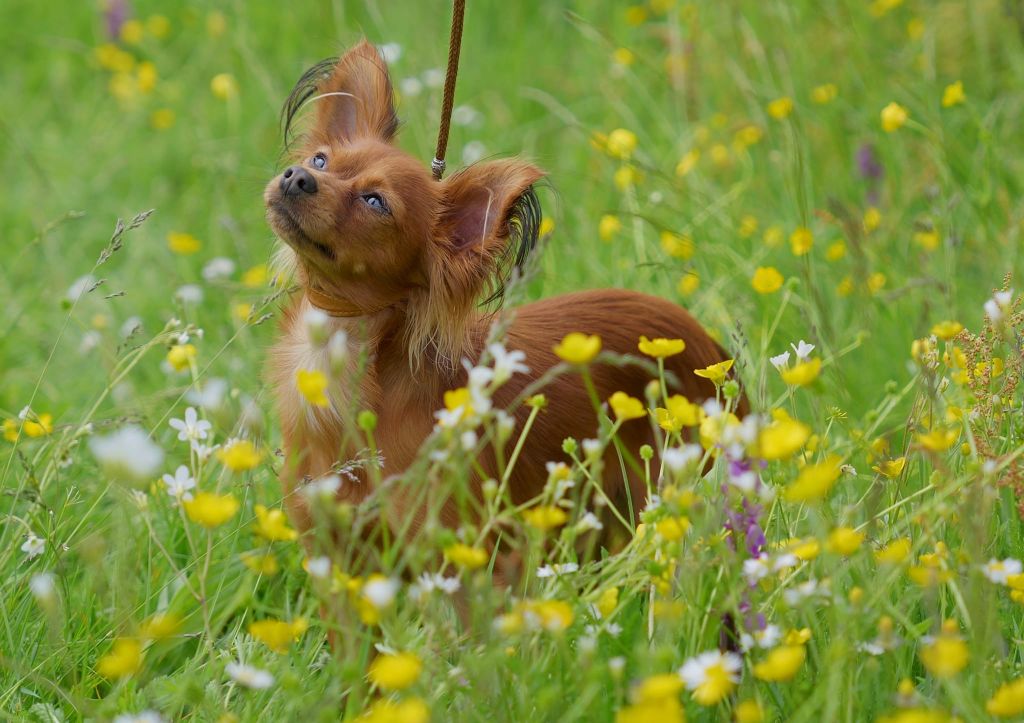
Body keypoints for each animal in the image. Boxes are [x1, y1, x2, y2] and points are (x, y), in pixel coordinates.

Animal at [268, 40, 741, 557]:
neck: (338, 345)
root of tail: (712, 349)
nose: (296, 177)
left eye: (375, 202)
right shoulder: (333, 554)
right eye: (320, 161)